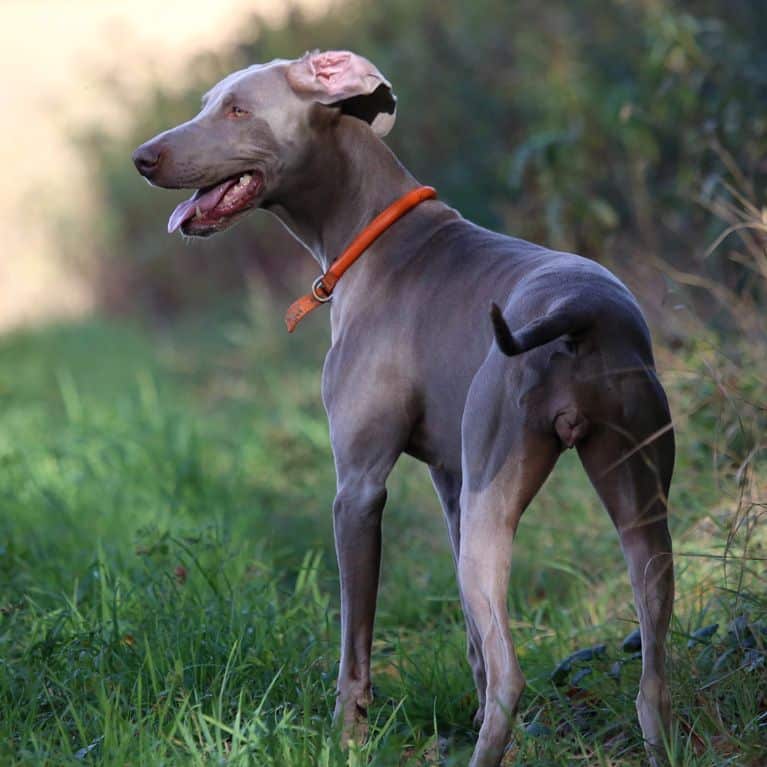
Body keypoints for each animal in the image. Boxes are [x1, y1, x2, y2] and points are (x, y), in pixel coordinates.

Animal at [135, 51, 676, 764]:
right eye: (206, 104)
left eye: (237, 110)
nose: (142, 158)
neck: (374, 232)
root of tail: (583, 312)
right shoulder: (451, 481)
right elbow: (471, 644)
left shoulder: (359, 490)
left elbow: (355, 645)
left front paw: (347, 737)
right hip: (633, 502)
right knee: (649, 674)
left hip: (497, 503)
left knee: (511, 675)